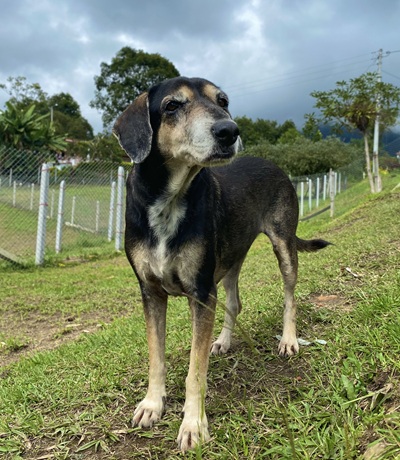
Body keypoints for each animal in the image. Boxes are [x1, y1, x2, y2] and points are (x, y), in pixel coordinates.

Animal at [113, 76, 330, 452]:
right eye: (172, 105)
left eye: (223, 101)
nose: (229, 130)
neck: (169, 199)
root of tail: (274, 164)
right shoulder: (151, 292)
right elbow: (156, 358)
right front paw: (152, 404)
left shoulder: (201, 292)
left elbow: (194, 371)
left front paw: (193, 424)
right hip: (229, 261)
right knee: (235, 301)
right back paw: (225, 341)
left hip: (283, 245)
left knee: (290, 296)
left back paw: (288, 339)